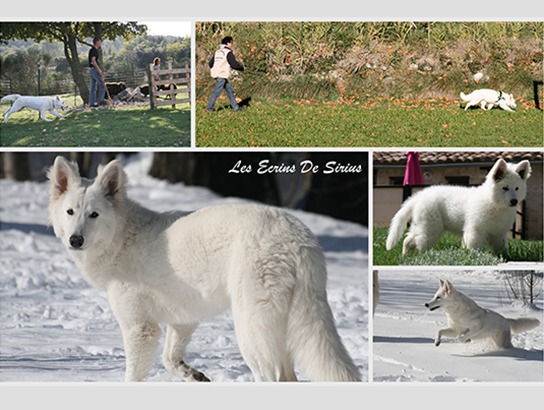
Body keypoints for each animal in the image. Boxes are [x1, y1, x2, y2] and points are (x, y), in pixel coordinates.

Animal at [47, 155, 362, 382]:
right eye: (70, 212)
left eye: (94, 215)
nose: (75, 240)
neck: (122, 237)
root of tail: (296, 238)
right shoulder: (183, 319)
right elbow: (170, 359)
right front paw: (193, 375)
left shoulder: (140, 328)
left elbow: (134, 375)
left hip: (251, 326)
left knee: (274, 376)